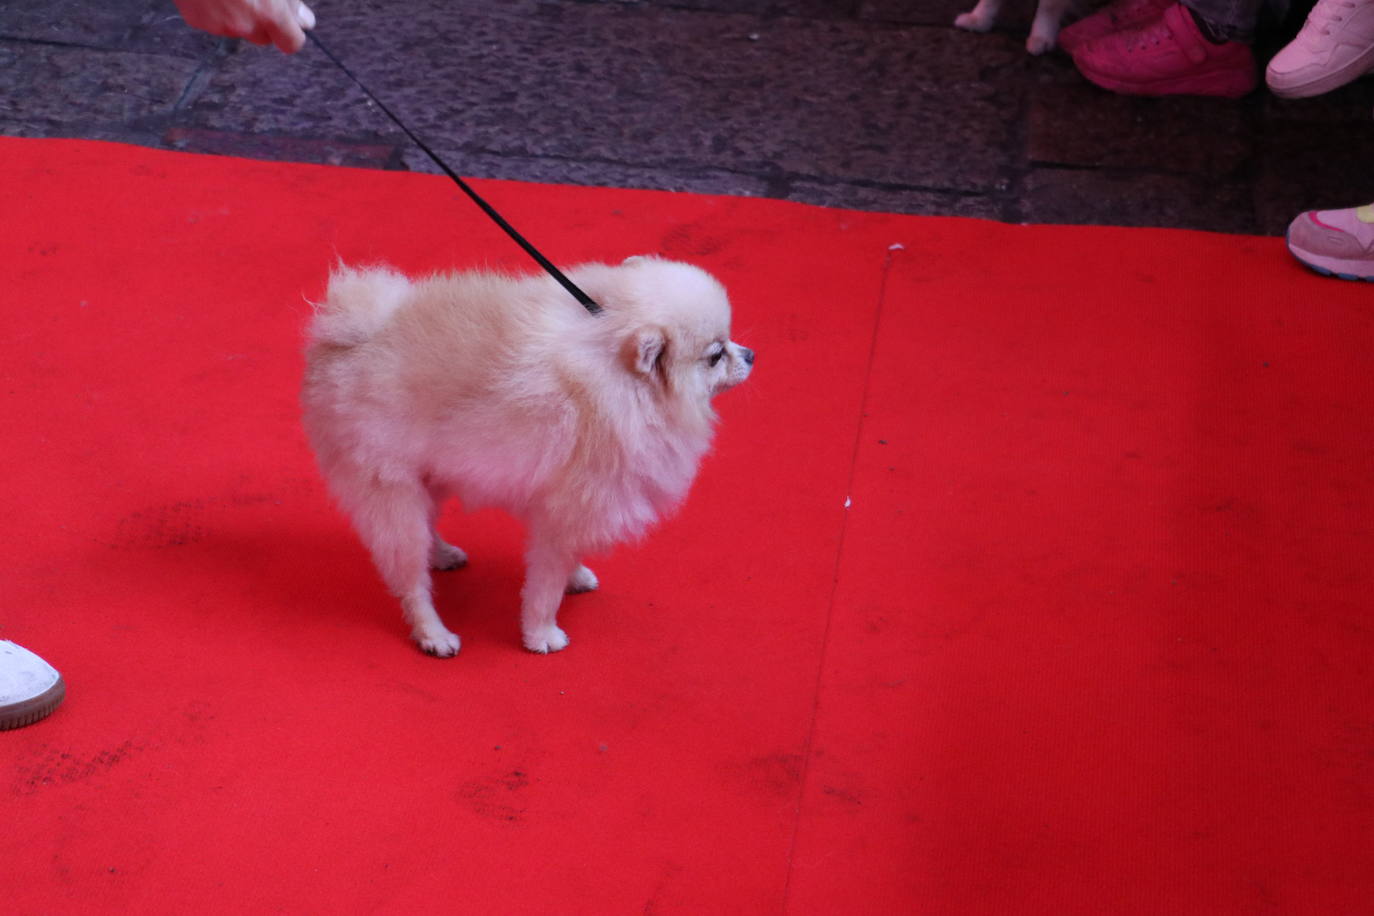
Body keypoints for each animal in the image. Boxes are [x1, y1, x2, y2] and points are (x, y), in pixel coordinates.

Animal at [300, 258, 758, 659]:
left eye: (729, 341)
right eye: (715, 355)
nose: (750, 354)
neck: (619, 374)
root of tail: (347, 332)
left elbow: (569, 555)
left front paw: (576, 576)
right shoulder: (569, 503)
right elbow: (545, 584)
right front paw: (541, 635)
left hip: (427, 472)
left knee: (426, 524)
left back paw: (442, 554)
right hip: (389, 485)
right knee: (410, 575)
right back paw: (434, 634)